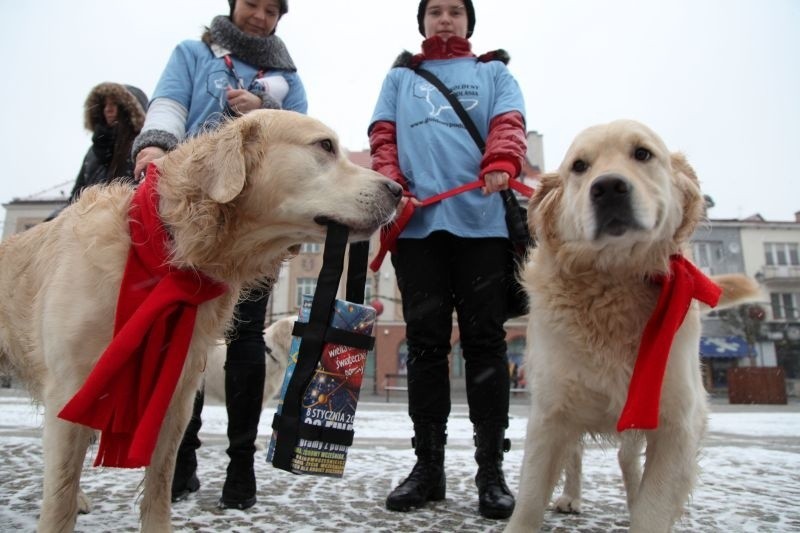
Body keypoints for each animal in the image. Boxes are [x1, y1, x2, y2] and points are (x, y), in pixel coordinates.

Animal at [0, 109, 400, 532]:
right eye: (324, 145)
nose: (399, 190)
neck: (168, 251)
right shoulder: (71, 389)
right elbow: (58, 497)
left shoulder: (175, 395)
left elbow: (158, 486)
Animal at [510, 119, 760, 532]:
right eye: (579, 166)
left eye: (642, 153)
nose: (609, 187)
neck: (614, 282)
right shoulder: (551, 412)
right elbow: (529, 500)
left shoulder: (676, 422)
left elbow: (652, 508)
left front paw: (641, 508)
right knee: (575, 457)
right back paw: (571, 497)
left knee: (628, 465)